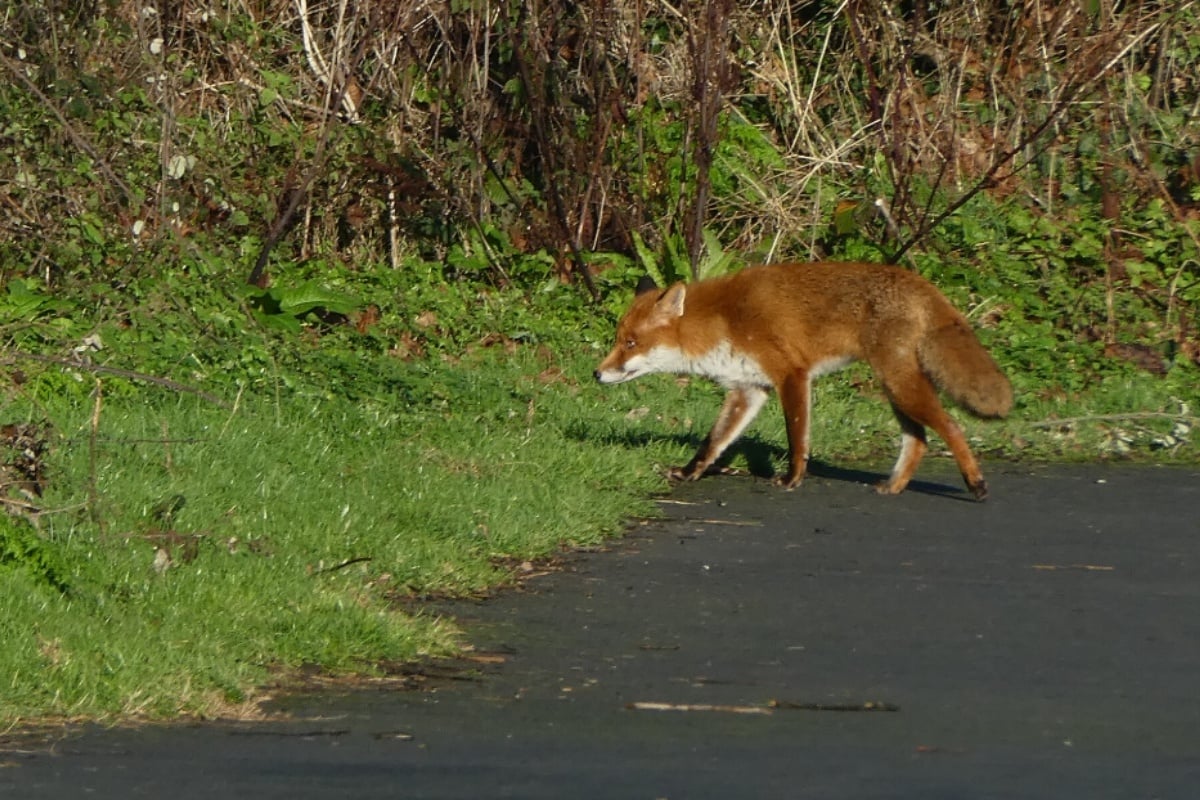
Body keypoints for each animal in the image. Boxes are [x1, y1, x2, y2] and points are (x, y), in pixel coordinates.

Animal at [594, 261, 1012, 500]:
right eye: (618, 339)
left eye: (630, 343)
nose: (597, 373)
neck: (722, 321)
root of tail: (919, 280)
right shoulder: (748, 389)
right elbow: (712, 442)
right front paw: (687, 473)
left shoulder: (791, 374)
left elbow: (797, 437)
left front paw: (793, 479)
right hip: (895, 386)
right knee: (919, 439)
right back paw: (894, 486)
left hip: (900, 384)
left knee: (951, 427)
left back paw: (975, 484)